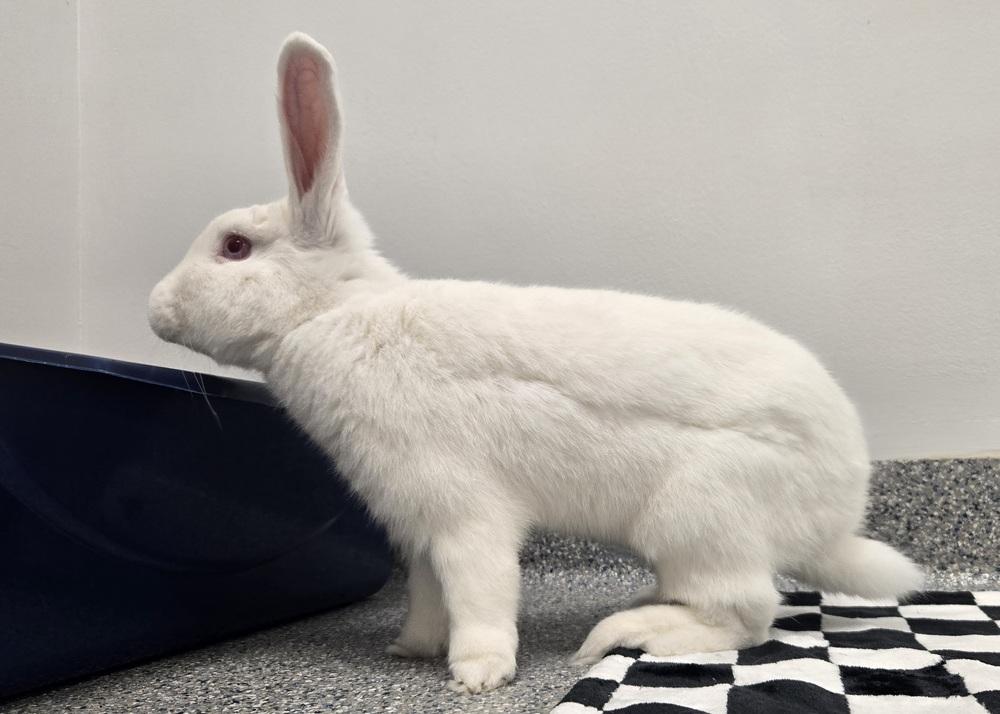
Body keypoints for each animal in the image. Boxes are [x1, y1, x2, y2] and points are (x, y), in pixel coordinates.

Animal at [149, 32, 923, 694]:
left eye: (235, 247)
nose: (155, 309)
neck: (334, 314)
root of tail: (837, 516)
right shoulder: (418, 529)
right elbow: (429, 594)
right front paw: (411, 648)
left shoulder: (463, 511)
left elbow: (480, 592)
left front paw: (478, 674)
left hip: (699, 516)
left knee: (749, 613)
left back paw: (629, 630)